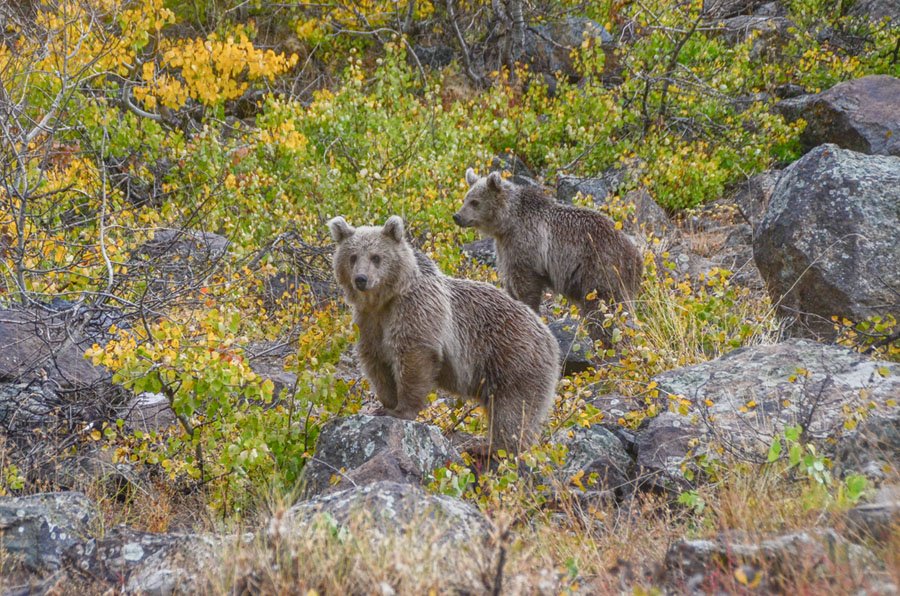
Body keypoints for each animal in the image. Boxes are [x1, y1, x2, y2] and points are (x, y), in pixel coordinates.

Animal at [326, 217, 560, 454]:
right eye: (353, 256)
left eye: (376, 257)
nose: (361, 279)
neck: (385, 299)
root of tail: (550, 338)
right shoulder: (369, 322)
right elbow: (376, 361)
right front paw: (384, 405)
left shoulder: (417, 309)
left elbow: (414, 355)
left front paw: (400, 410)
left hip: (513, 357)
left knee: (512, 408)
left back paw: (490, 447)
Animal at [454, 168, 644, 336]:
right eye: (465, 199)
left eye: (475, 202)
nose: (457, 216)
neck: (507, 224)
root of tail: (636, 255)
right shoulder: (505, 250)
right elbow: (510, 283)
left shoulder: (526, 246)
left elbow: (526, 286)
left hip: (601, 268)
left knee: (602, 306)